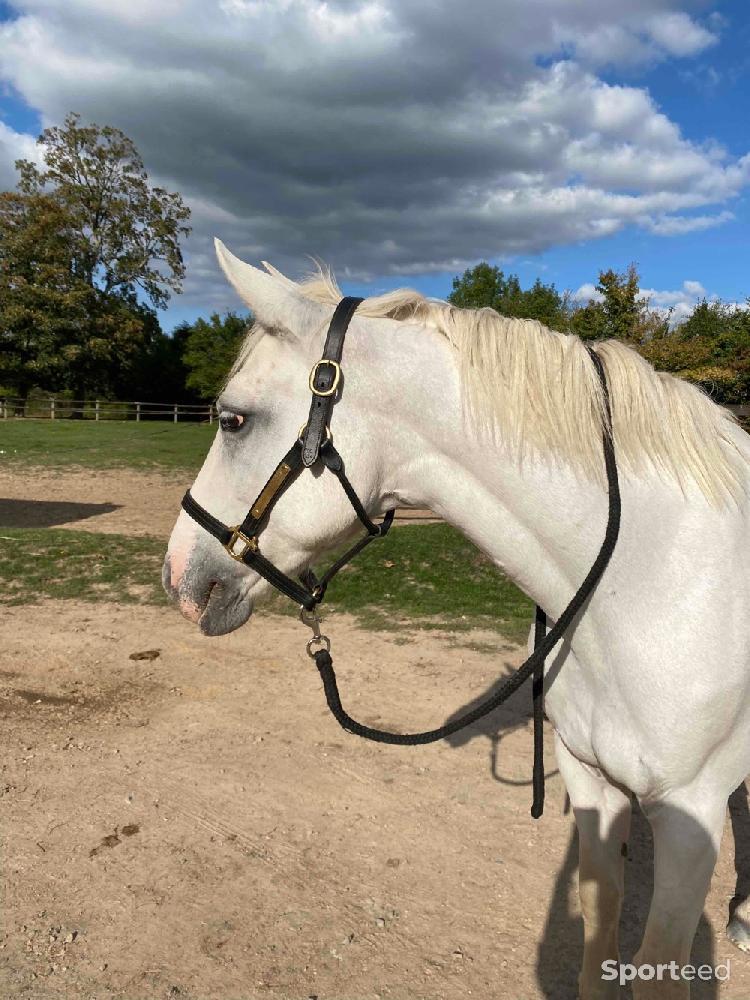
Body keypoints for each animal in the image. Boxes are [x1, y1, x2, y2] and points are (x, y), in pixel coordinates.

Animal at [166, 238, 750, 996]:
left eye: (233, 418)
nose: (176, 573)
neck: (648, 587)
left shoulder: (691, 822)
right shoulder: (590, 782)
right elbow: (598, 926)